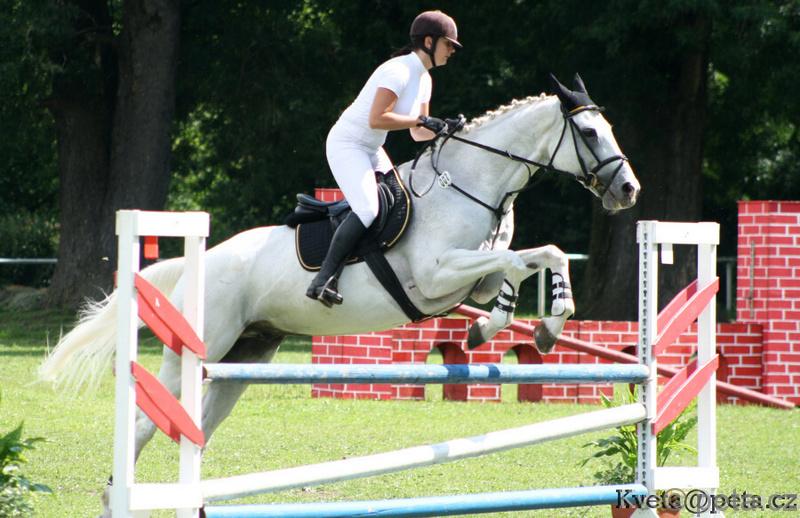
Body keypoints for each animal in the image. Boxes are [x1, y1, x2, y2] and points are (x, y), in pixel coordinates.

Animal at [39, 74, 639, 515]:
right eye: (590, 135)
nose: (628, 189)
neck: (474, 185)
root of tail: (197, 264)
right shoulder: (437, 276)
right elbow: (516, 261)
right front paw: (501, 327)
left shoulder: (473, 278)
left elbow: (539, 257)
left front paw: (538, 323)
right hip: (197, 350)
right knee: (146, 423)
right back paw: (118, 494)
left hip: (246, 356)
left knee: (197, 430)